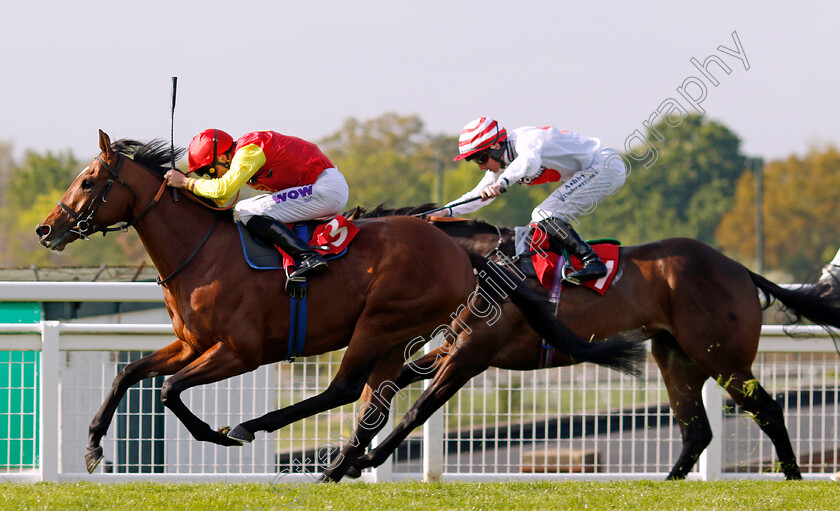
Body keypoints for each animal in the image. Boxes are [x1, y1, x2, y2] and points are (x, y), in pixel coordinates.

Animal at [31, 134, 636, 478]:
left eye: (88, 179)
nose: (45, 229)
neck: (201, 251)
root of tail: (462, 252)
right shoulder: (190, 342)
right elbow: (129, 373)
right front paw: (92, 449)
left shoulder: (240, 351)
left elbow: (169, 390)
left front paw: (214, 434)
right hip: (397, 336)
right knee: (372, 402)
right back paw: (337, 464)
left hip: (380, 323)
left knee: (344, 390)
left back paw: (259, 430)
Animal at [334, 203, 840, 480]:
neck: (481, 264)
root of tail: (738, 269)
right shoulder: (450, 347)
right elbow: (394, 384)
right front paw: (346, 457)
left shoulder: (471, 356)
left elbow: (419, 409)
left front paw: (363, 458)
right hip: (675, 358)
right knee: (697, 429)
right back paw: (666, 483)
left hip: (723, 358)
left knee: (767, 410)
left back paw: (793, 477)